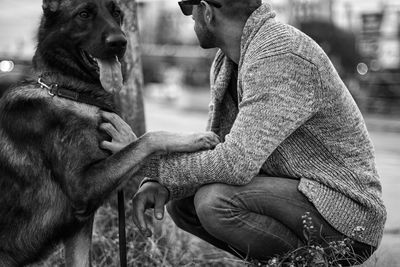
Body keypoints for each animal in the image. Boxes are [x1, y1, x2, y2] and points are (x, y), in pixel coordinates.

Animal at [0, 1, 219, 266]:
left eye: (116, 13)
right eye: (84, 14)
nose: (120, 42)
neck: (67, 91)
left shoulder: (79, 226)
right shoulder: (83, 187)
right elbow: (148, 138)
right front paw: (194, 138)